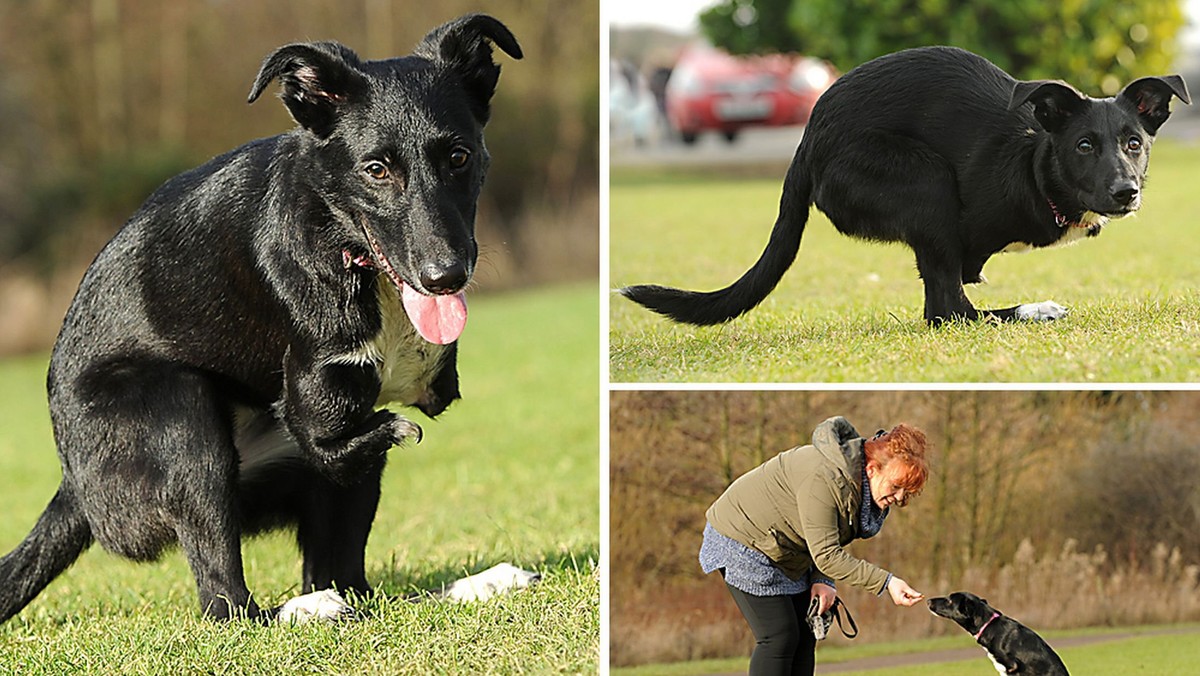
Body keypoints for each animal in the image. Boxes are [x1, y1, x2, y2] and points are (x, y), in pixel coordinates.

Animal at [1, 14, 525, 624]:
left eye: (459, 157)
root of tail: (74, 487)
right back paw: (310, 608)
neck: (345, 245)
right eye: (376, 169)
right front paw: (393, 428)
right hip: (183, 422)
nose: (445, 276)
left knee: (353, 586)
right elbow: (340, 435)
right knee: (227, 602)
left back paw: (482, 582)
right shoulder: (316, 405)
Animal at [624, 45, 1185, 324]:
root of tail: (809, 139)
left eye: (1134, 143)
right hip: (925, 180)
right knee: (947, 313)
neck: (1034, 165)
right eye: (1084, 145)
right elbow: (951, 299)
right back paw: (1035, 310)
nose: (1126, 192)